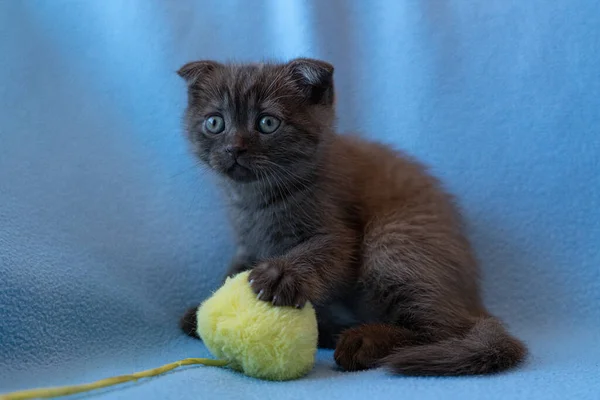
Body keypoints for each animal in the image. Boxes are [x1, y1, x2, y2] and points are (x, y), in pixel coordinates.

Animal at [177, 58, 524, 376]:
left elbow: (319, 251)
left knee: (444, 329)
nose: (234, 148)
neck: (256, 202)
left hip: (391, 241)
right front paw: (203, 308)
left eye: (267, 123)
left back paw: (363, 342)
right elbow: (233, 268)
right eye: (215, 123)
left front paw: (280, 275)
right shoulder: (247, 242)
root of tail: (474, 302)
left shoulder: (339, 233)